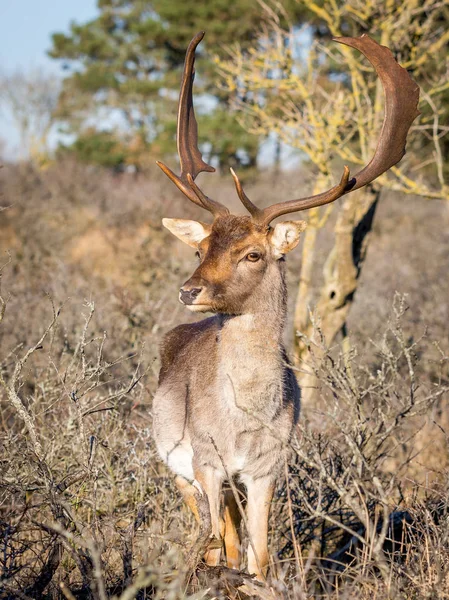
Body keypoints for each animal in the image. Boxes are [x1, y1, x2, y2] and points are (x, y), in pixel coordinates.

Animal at [152, 30, 418, 580]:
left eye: (253, 253)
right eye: (199, 248)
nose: (189, 290)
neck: (245, 421)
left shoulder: (268, 465)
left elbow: (259, 557)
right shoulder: (207, 459)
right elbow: (222, 547)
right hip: (172, 461)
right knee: (209, 536)